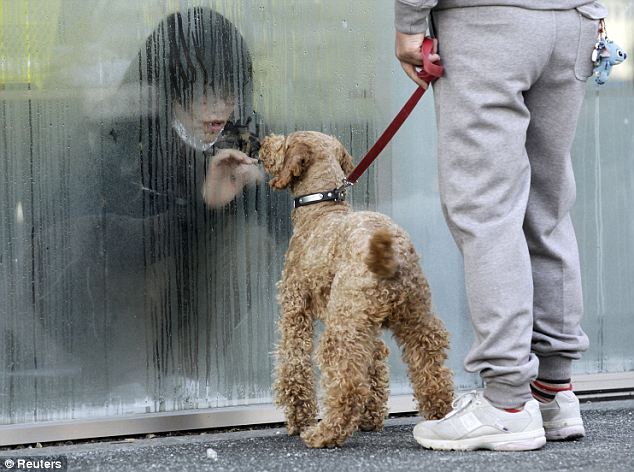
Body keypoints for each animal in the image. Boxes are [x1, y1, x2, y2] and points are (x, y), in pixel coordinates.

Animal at [260, 131, 452, 448]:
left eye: (285, 142)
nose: (263, 144)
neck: (320, 209)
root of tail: (390, 254)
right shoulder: (367, 325)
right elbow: (376, 363)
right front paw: (370, 418)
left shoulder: (295, 309)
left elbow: (294, 361)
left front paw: (299, 419)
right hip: (413, 315)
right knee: (432, 370)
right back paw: (440, 417)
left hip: (343, 326)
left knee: (347, 384)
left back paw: (324, 433)